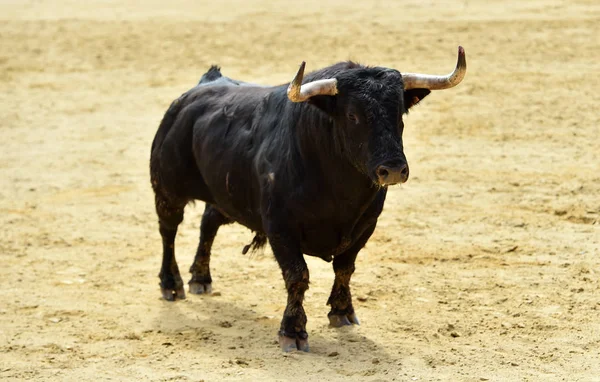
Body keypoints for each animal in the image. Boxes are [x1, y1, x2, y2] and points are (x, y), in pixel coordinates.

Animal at [150, 47, 468, 352]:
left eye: (399, 113)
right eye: (352, 116)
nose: (392, 169)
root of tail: (203, 86)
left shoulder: (365, 226)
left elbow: (345, 268)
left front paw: (342, 312)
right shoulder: (280, 228)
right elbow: (297, 276)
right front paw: (292, 332)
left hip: (224, 195)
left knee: (208, 224)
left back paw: (200, 279)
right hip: (166, 190)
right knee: (168, 232)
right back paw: (172, 284)